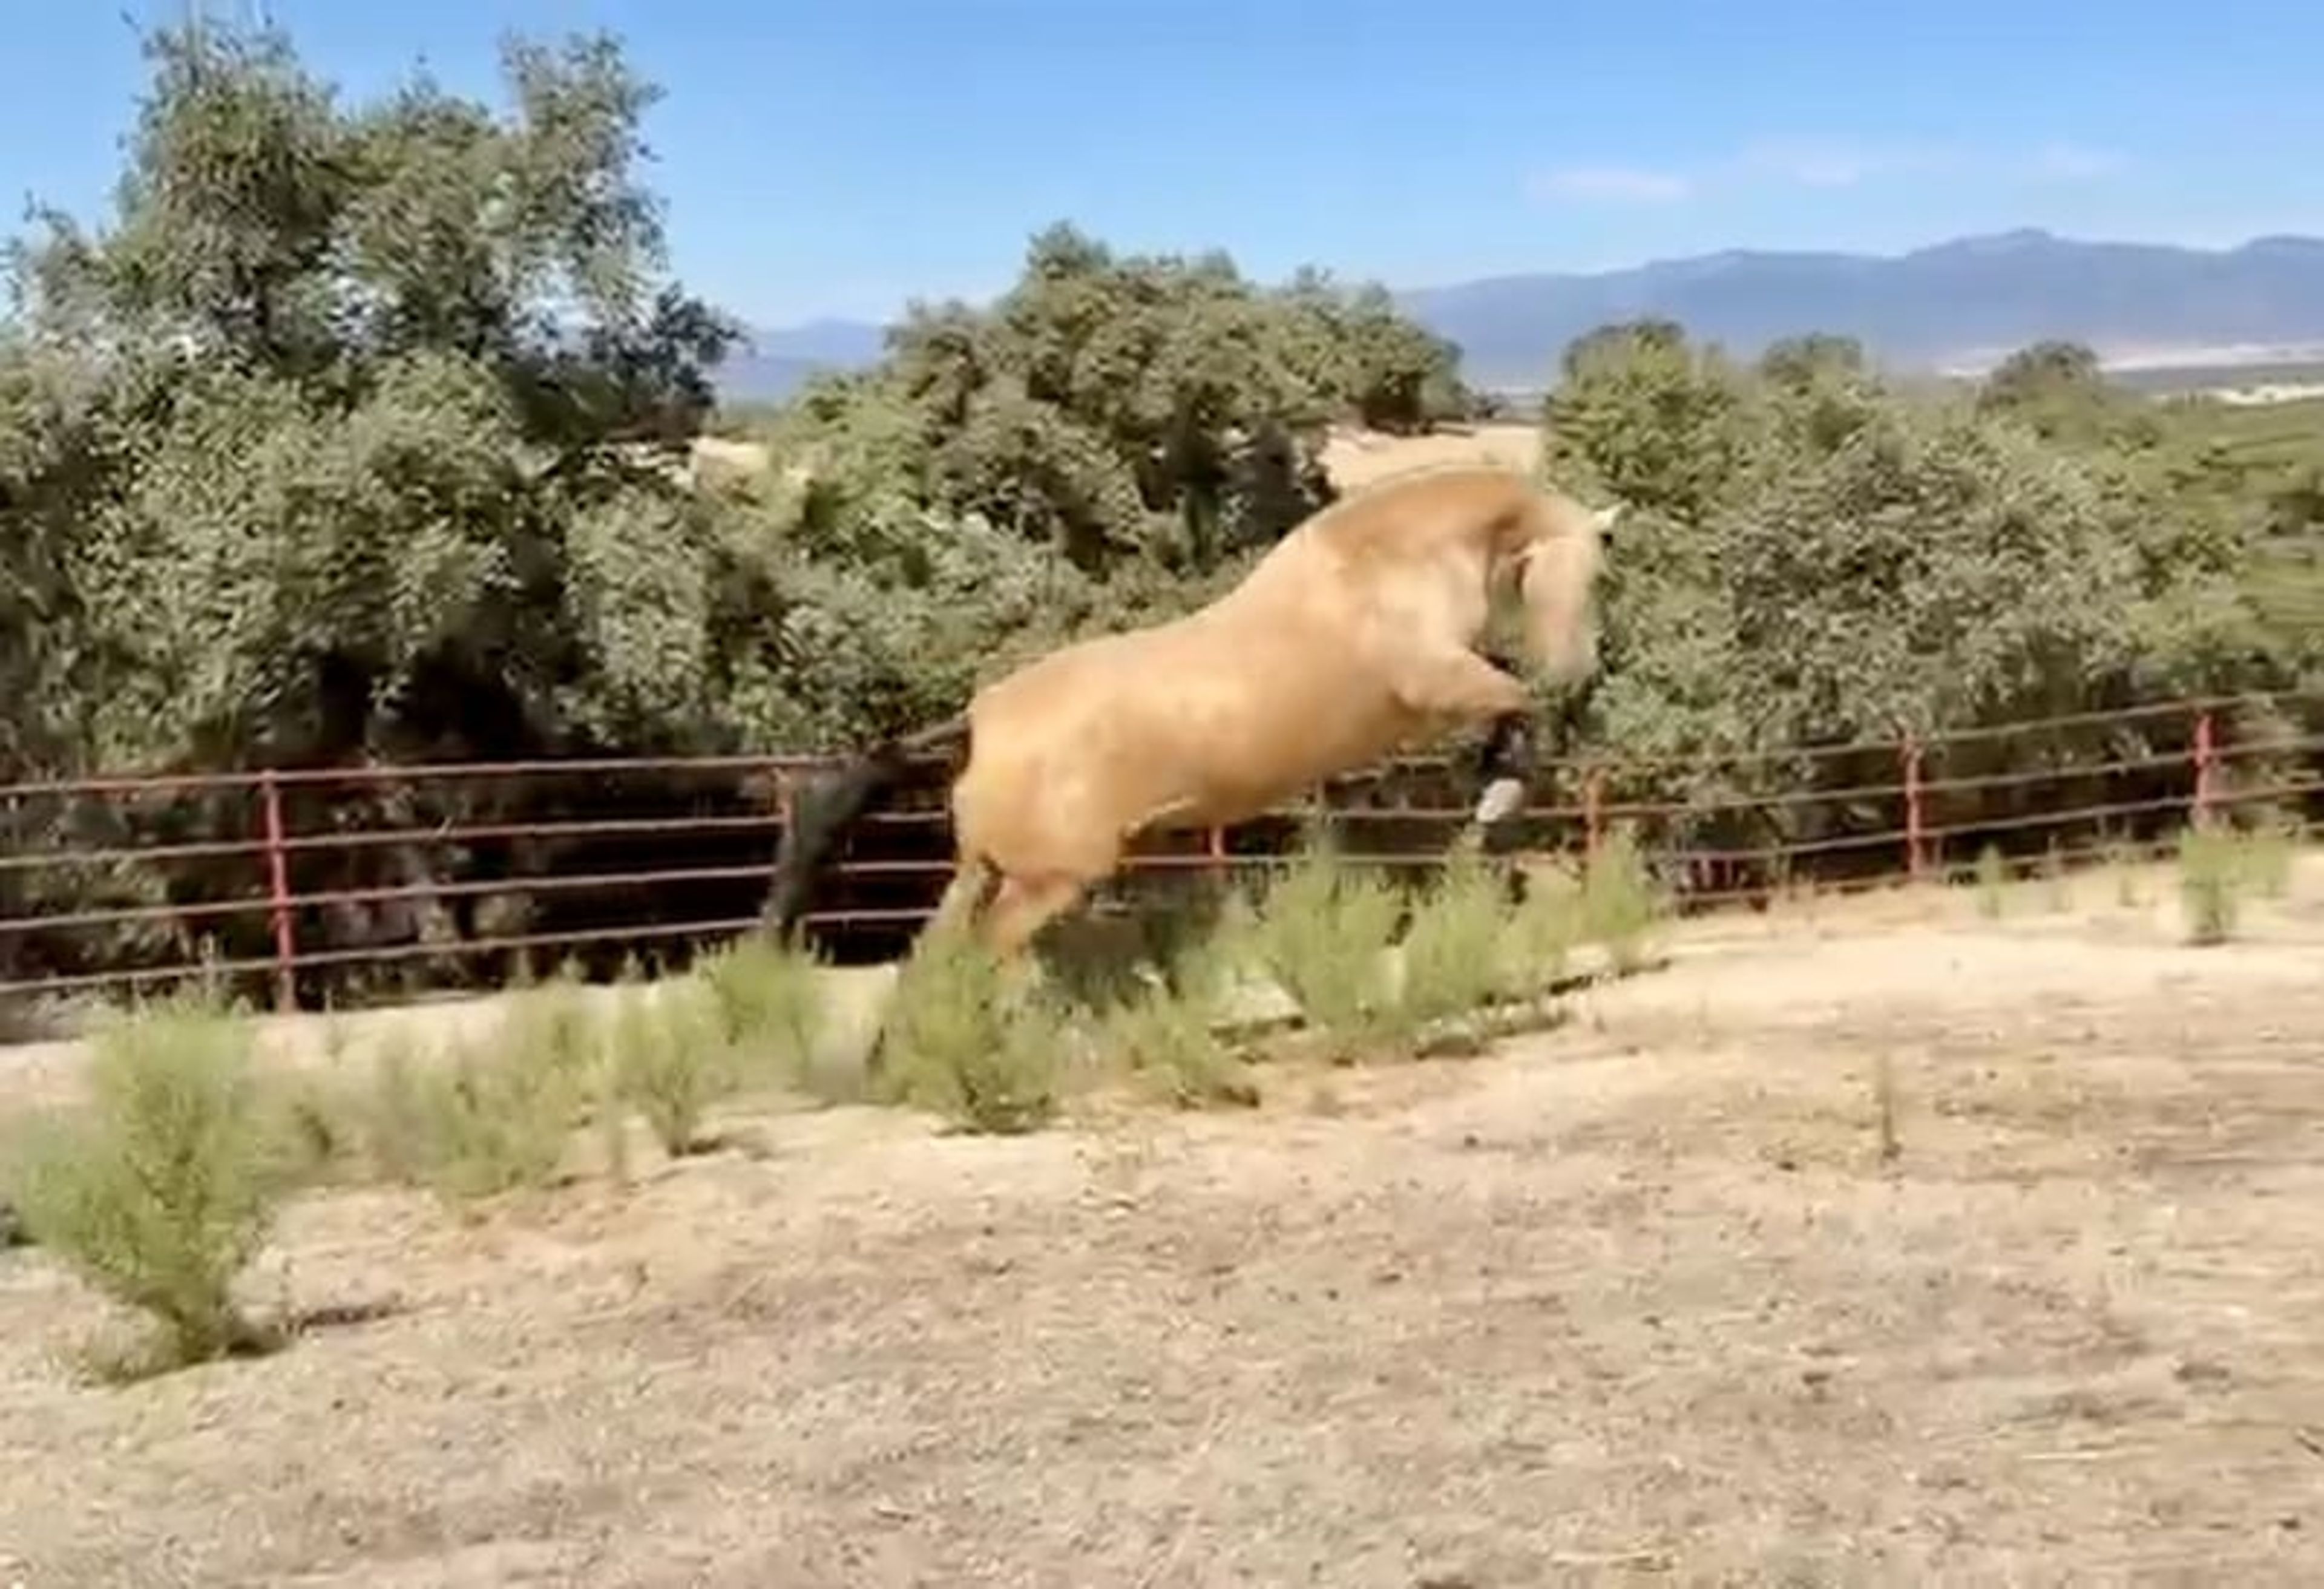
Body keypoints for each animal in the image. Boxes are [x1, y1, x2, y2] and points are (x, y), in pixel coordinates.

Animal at [760, 462, 1621, 964]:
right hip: (1045, 883)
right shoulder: (1433, 685)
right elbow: (1517, 706)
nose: (1581, 668)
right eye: (1591, 576)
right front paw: (1498, 798)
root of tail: (979, 723)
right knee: (979, 959)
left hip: (984, 870)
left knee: (934, 960)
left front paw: (1493, 790)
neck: (1386, 564)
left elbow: (1509, 711)